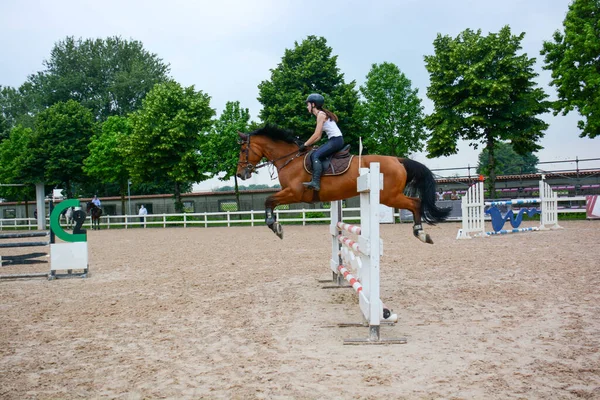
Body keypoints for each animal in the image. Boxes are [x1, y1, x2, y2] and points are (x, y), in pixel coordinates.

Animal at [234, 125, 450, 244]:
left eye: (243, 150)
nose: (240, 174)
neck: (290, 159)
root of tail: (398, 160)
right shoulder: (290, 193)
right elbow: (270, 201)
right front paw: (275, 225)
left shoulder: (294, 193)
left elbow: (269, 201)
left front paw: (275, 226)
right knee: (415, 203)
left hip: (390, 196)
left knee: (415, 203)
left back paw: (421, 233)